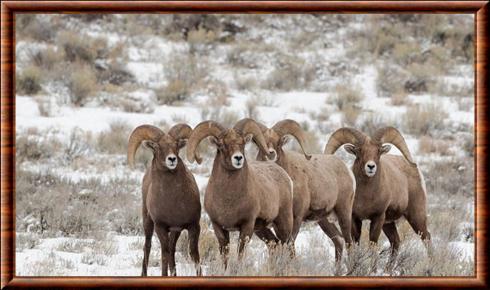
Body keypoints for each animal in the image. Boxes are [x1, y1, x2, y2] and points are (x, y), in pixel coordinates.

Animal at [128, 123, 203, 276]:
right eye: (157, 146)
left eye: (177, 145)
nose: (172, 159)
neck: (174, 202)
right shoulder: (160, 227)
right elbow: (164, 254)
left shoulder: (193, 226)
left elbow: (194, 254)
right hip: (148, 222)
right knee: (148, 246)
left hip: (175, 231)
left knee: (172, 251)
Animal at [186, 118, 292, 268]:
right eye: (221, 144)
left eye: (242, 143)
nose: (238, 158)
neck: (229, 200)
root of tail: (285, 175)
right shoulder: (219, 228)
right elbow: (225, 256)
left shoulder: (246, 226)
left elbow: (240, 254)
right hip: (261, 229)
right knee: (274, 244)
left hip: (283, 222)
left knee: (290, 245)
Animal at [253, 119, 356, 260]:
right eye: (259, 143)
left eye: (279, 142)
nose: (270, 154)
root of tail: (347, 169)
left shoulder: (296, 218)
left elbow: (290, 248)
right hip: (323, 220)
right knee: (338, 240)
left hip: (343, 213)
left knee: (349, 243)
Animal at [328, 125, 430, 258]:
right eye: (359, 151)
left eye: (378, 151)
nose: (371, 167)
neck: (365, 197)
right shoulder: (354, 219)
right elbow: (356, 243)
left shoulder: (378, 218)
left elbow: (372, 246)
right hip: (389, 224)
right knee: (395, 241)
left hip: (416, 216)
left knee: (426, 238)